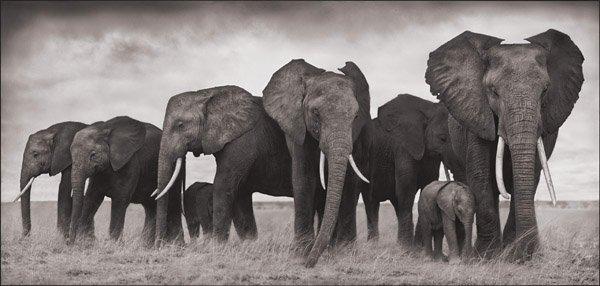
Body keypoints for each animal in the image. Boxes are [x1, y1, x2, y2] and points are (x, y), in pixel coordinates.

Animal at [67, 116, 183, 246]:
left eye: (93, 155)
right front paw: (83, 242)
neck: (103, 128)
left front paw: (113, 244)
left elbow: (120, 199)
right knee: (151, 207)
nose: (69, 242)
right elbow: (92, 198)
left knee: (173, 200)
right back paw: (145, 246)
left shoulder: (130, 163)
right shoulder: (99, 173)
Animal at [152, 84, 326, 246]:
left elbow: (223, 185)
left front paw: (216, 246)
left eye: (180, 125)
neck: (207, 94)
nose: (159, 245)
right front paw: (249, 244)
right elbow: (241, 194)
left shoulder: (242, 141)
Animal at [262, 59, 370, 268]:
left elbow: (350, 182)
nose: (309, 265)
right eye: (315, 112)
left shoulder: (357, 137)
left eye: (355, 116)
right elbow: (304, 179)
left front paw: (346, 252)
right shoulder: (296, 128)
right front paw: (301, 253)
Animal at [350, 93, 458, 246]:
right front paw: (407, 249)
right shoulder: (402, 147)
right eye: (442, 138)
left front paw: (417, 247)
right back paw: (374, 245)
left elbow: (428, 186)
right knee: (370, 201)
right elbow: (407, 187)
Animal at [424, 29, 584, 260]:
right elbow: (479, 174)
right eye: (493, 91)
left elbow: (531, 173)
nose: (529, 253)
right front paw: (487, 255)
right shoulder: (476, 112)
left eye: (545, 90)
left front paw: (514, 255)